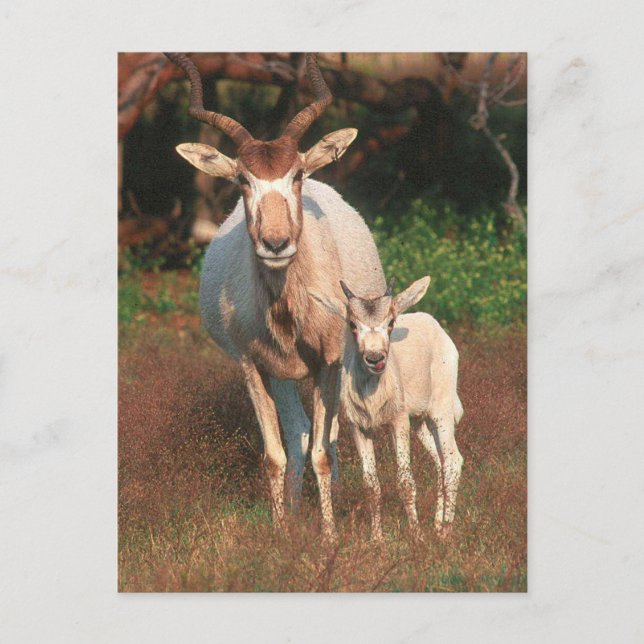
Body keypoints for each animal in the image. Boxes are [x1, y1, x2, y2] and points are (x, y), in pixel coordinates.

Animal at [164, 52, 385, 539]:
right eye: (242, 179)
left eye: (296, 174)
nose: (276, 243)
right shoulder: (252, 366)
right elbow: (275, 454)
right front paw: (283, 533)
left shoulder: (328, 364)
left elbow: (325, 451)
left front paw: (329, 537)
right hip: (283, 375)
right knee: (299, 433)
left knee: (330, 438)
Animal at [309, 276, 464, 541]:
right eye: (352, 324)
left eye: (390, 322)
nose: (375, 358)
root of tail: (437, 328)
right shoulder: (359, 427)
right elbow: (371, 485)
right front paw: (377, 539)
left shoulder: (398, 421)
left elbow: (405, 481)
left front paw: (416, 536)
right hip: (420, 422)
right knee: (440, 460)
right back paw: (436, 524)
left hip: (440, 411)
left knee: (453, 459)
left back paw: (446, 531)